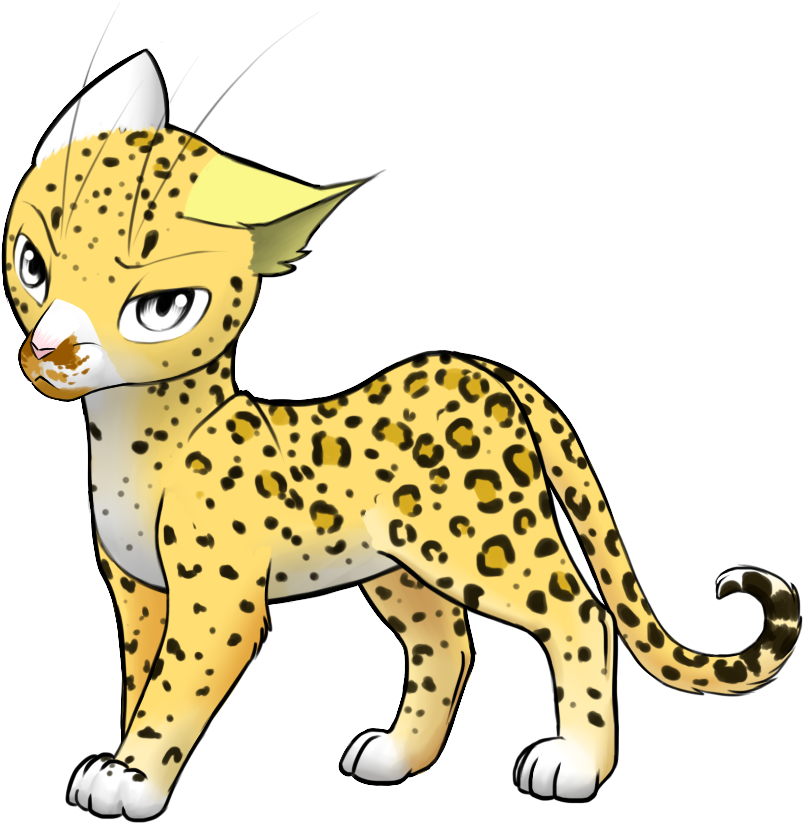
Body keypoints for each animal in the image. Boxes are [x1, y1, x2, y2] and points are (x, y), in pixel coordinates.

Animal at [6, 52, 799, 817]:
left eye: (163, 308)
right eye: (32, 265)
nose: (54, 351)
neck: (127, 431)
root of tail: (478, 366)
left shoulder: (215, 598)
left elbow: (175, 690)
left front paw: (134, 776)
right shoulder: (139, 591)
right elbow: (140, 678)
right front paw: (118, 758)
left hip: (484, 544)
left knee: (579, 613)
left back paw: (573, 763)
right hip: (399, 565)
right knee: (444, 643)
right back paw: (397, 753)